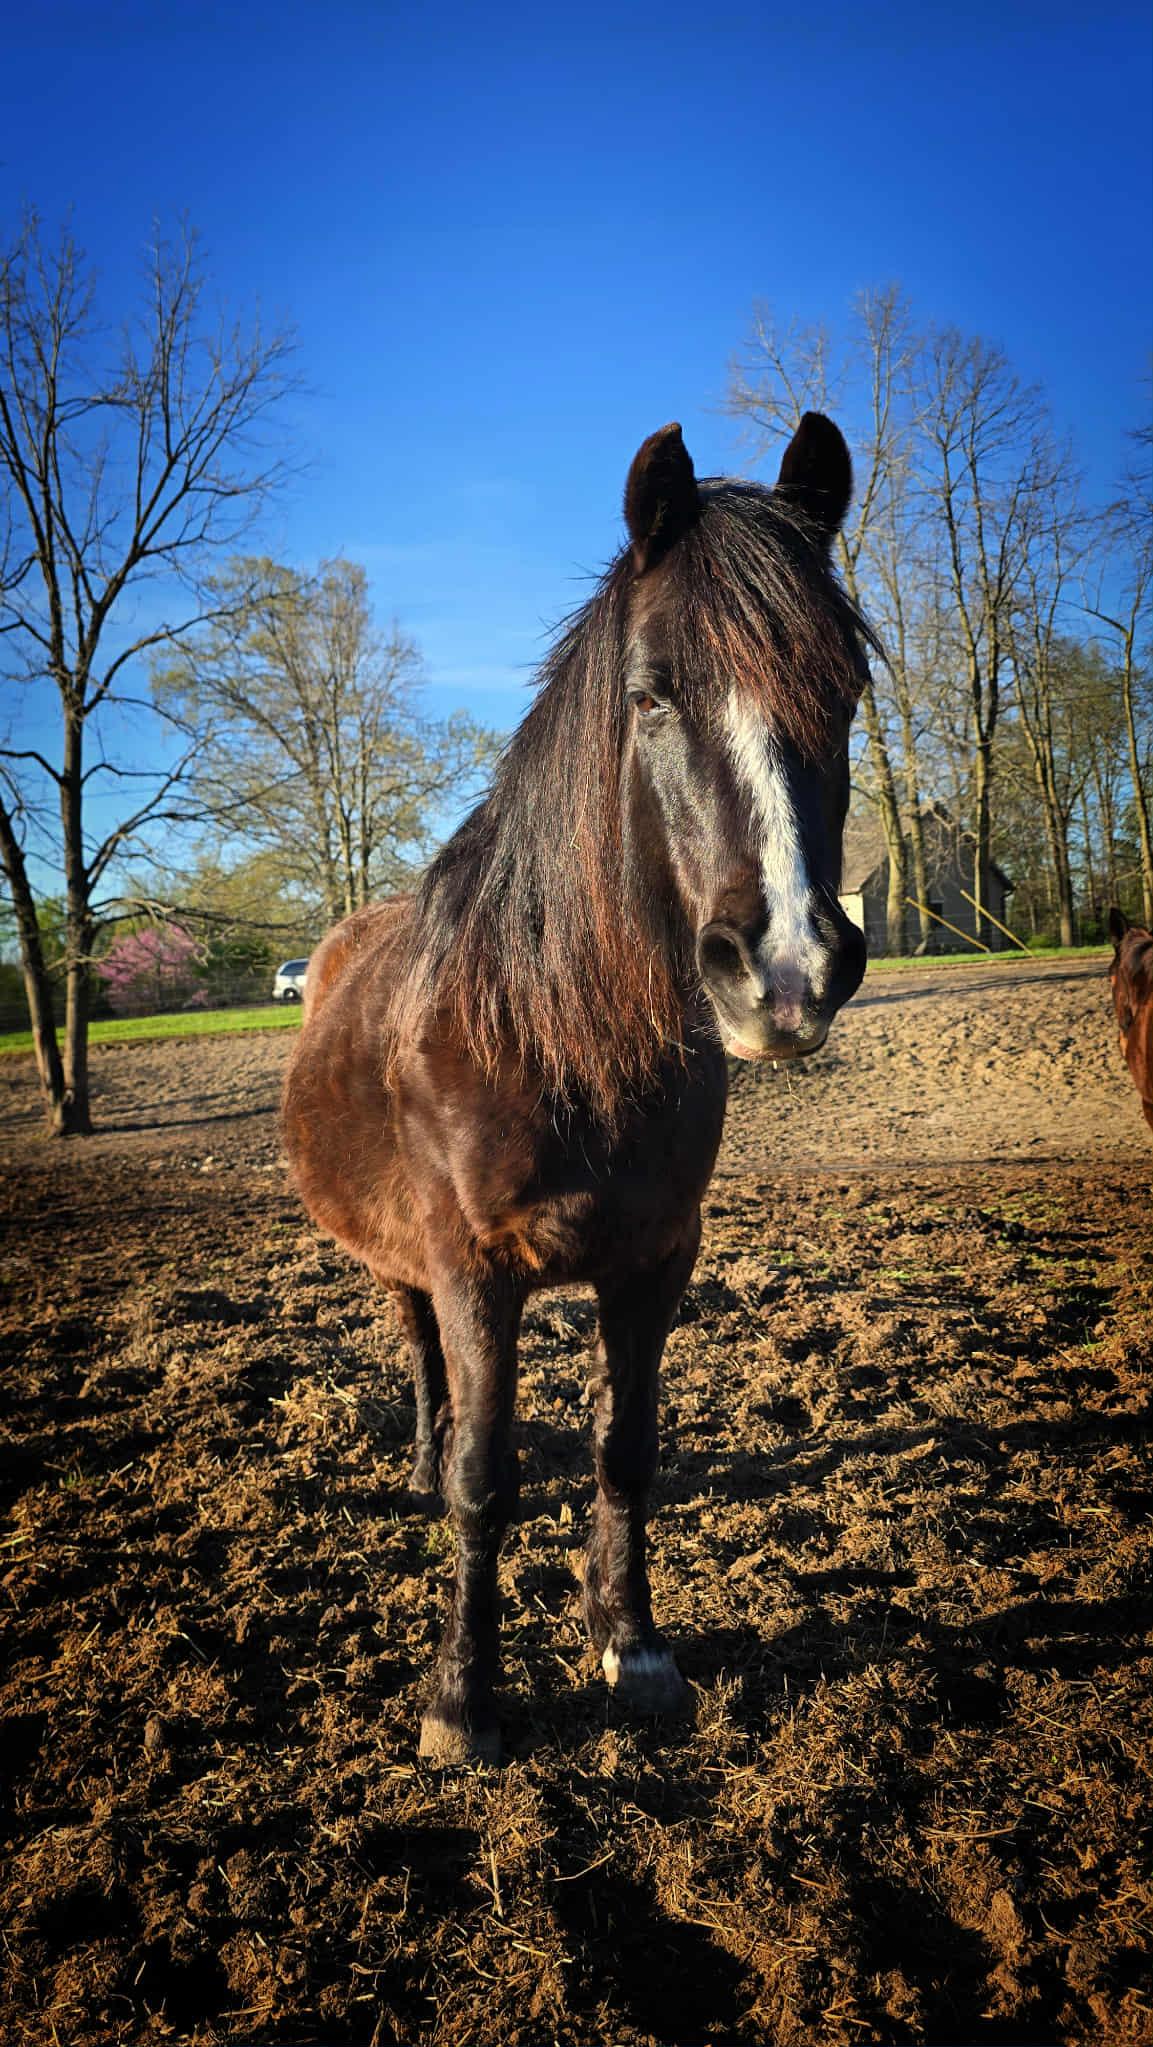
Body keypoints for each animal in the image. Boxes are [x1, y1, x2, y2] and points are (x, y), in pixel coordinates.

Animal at [282, 413, 873, 1765]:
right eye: (650, 694)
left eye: (849, 691)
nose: (788, 971)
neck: (553, 1040)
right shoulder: (471, 1269)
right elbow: (485, 1482)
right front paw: (462, 1701)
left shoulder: (655, 1258)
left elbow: (626, 1449)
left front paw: (632, 1645)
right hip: (400, 1257)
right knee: (421, 1359)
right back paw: (417, 1464)